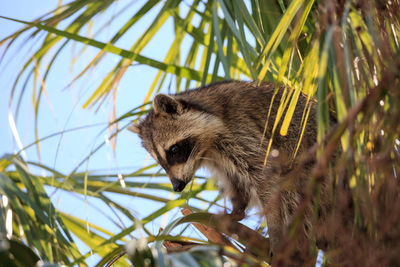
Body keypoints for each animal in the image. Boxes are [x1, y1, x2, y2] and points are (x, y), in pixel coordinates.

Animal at [131, 80, 324, 260]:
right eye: (160, 162)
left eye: (173, 150)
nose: (177, 186)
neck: (207, 146)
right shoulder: (218, 157)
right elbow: (234, 179)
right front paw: (236, 210)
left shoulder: (242, 127)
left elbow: (267, 178)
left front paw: (275, 230)